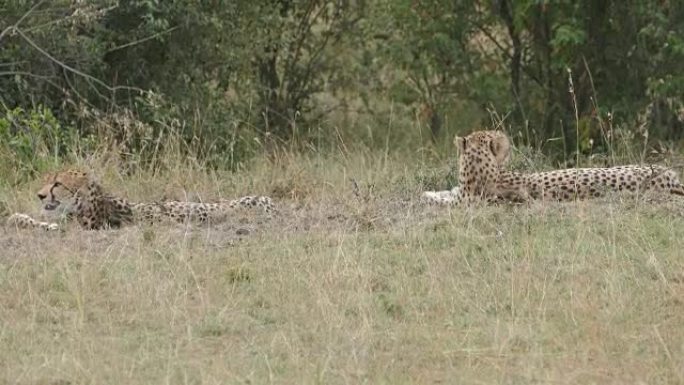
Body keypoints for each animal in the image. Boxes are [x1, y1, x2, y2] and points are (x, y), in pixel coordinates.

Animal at [422, 129, 684, 204]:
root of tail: (670, 178)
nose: (506, 137)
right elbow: (446, 192)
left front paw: (429, 196)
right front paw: (430, 192)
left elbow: (444, 199)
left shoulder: (469, 202)